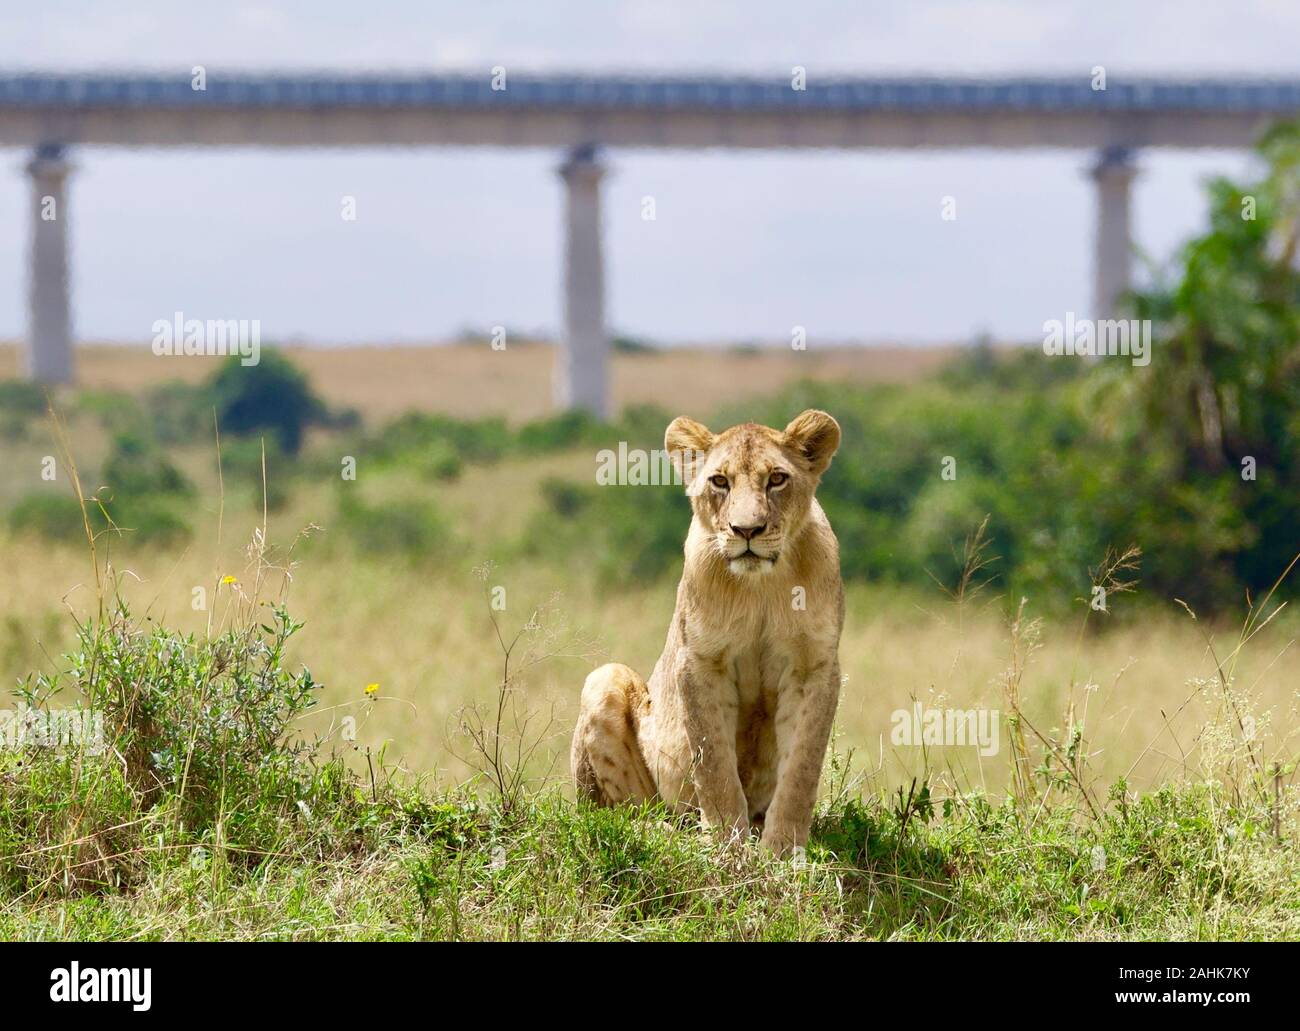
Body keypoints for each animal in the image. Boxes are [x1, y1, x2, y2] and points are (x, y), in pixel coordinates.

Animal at [571, 409, 844, 856]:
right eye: (720, 481)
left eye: (777, 479)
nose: (747, 530)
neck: (760, 587)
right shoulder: (699, 660)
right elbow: (713, 762)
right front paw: (726, 845)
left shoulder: (813, 666)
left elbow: (801, 768)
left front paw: (783, 850)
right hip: (605, 680)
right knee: (621, 813)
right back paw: (668, 834)